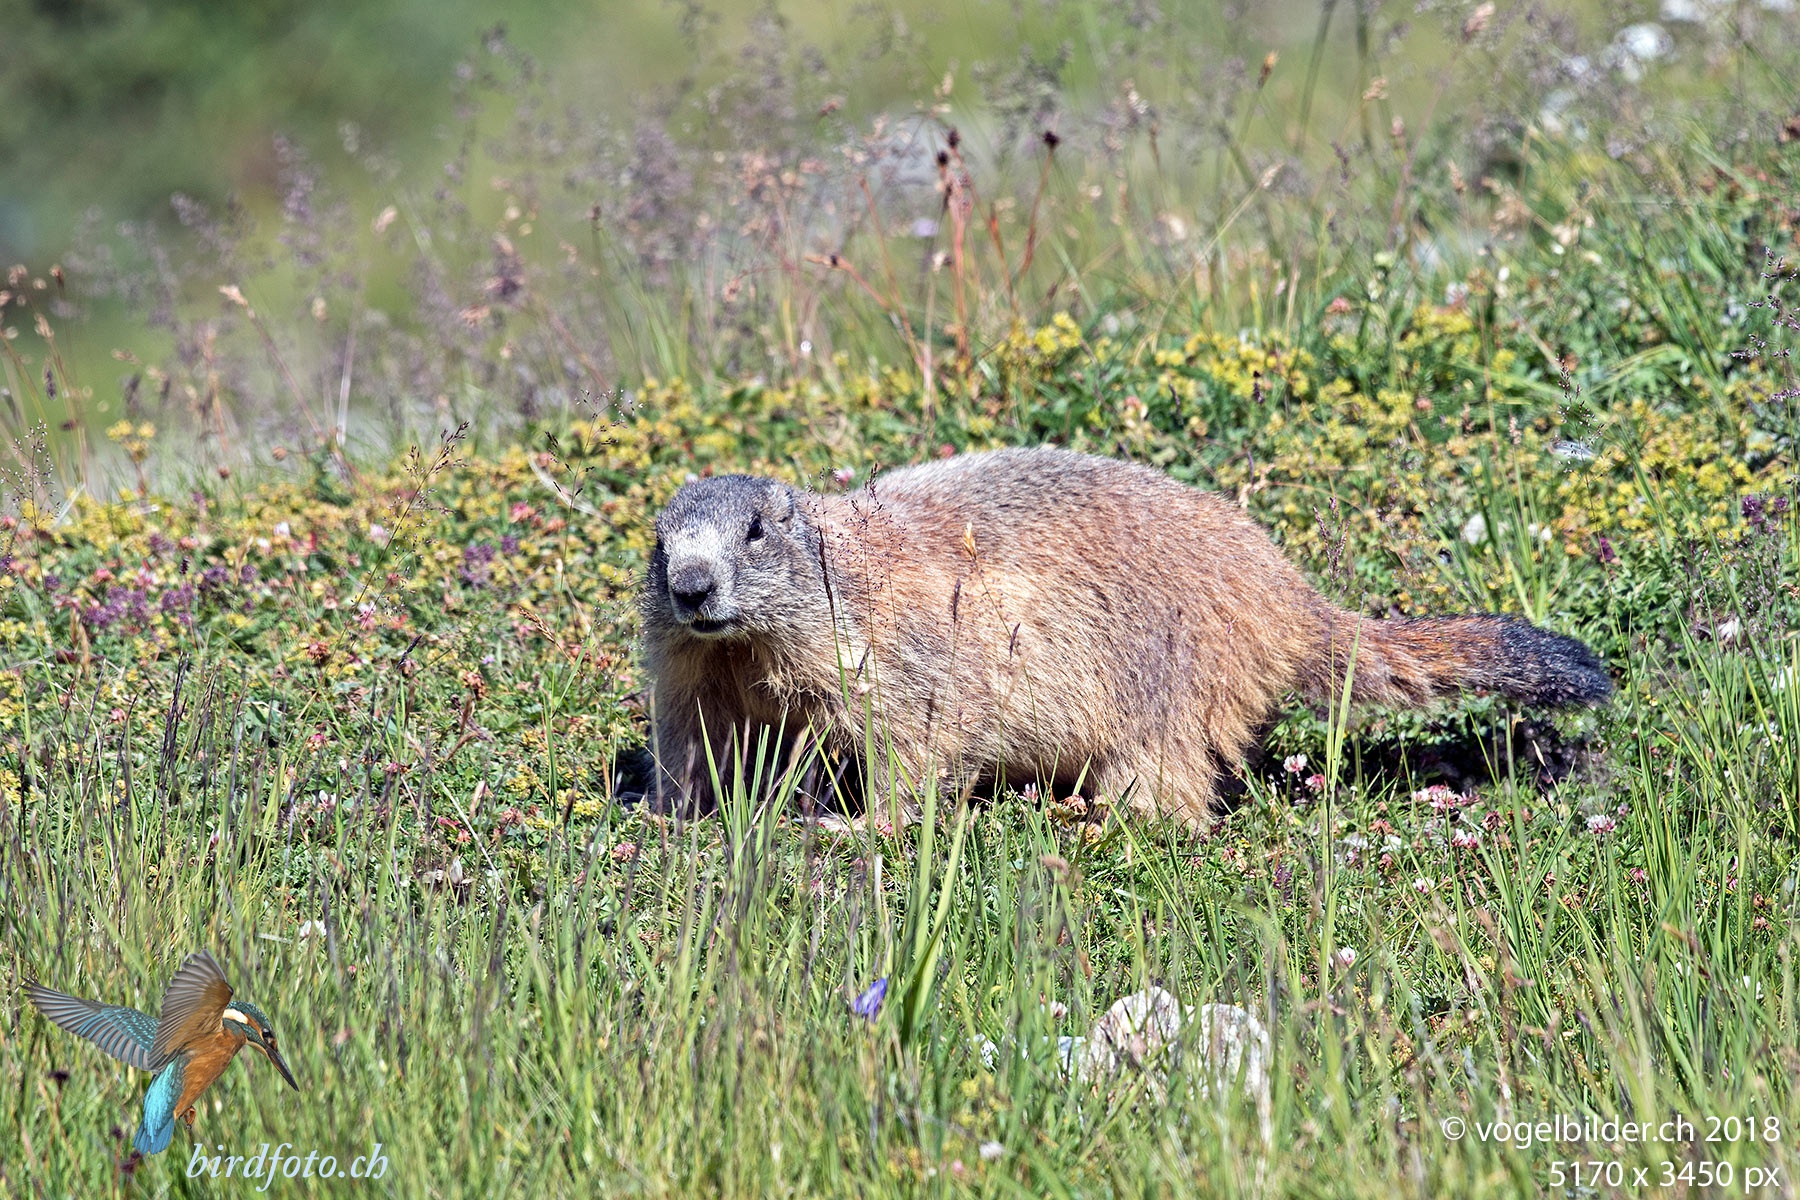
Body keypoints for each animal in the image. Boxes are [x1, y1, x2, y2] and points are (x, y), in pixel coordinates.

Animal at [639, 446, 1610, 825]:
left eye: (755, 532)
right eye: (657, 543)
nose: (690, 586)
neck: (749, 645)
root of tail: (1290, 597)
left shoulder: (891, 647)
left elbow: (914, 735)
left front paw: (858, 825)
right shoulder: (696, 670)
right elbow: (694, 736)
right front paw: (671, 811)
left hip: (1166, 689)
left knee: (1168, 779)